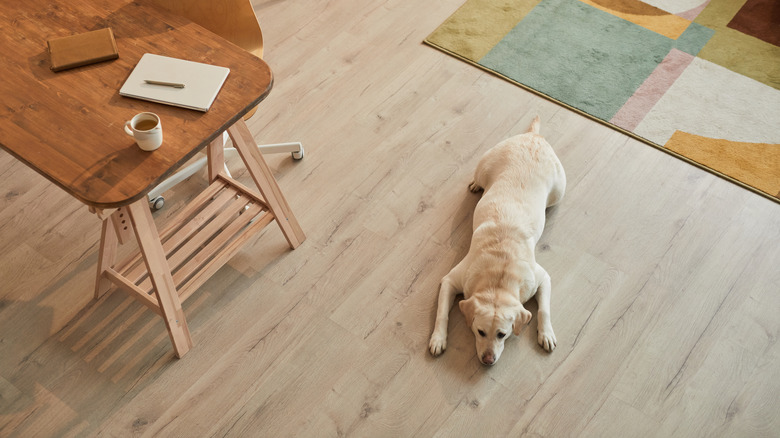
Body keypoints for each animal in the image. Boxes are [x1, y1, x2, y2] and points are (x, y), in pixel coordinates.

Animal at [430, 116, 564, 366]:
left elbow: (544, 310)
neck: (498, 277)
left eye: (503, 334)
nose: (488, 360)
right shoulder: (450, 280)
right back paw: (475, 184)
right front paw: (438, 339)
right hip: (484, 166)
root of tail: (534, 136)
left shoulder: (542, 278)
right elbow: (442, 313)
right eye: (480, 331)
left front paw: (546, 334)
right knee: (478, 178)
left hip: (559, 191)